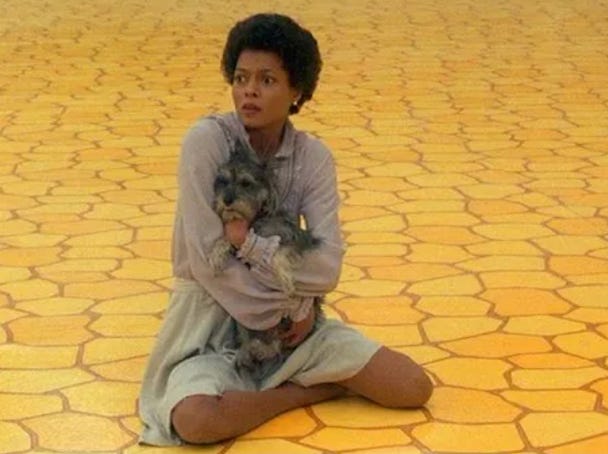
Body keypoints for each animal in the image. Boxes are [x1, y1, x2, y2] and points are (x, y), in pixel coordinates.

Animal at [209, 141, 324, 372]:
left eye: (246, 183)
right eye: (222, 181)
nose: (226, 201)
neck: (256, 220)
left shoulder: (295, 239)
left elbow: (279, 253)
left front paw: (287, 282)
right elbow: (225, 239)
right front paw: (216, 255)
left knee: (275, 345)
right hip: (243, 318)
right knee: (258, 341)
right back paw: (248, 352)